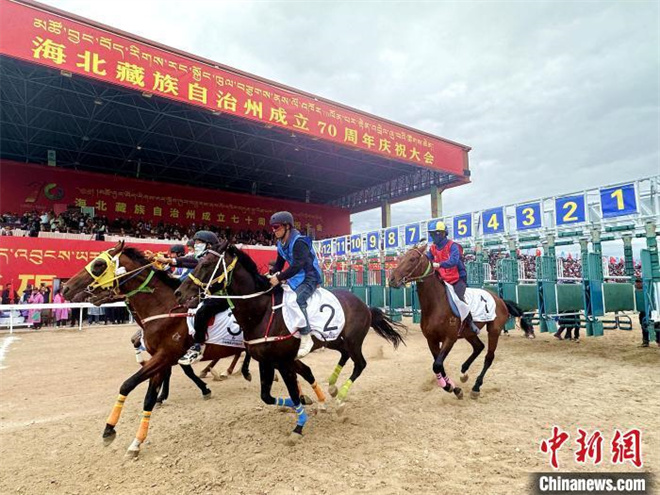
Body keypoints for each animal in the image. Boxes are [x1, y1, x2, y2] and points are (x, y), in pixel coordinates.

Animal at [173, 242, 404, 444]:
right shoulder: (266, 361)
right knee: (345, 356)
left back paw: (339, 399)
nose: (179, 293)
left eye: (206, 264)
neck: (262, 312)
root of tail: (365, 305)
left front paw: (299, 425)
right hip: (333, 340)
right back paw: (332, 387)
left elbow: (291, 391)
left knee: (360, 364)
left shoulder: (283, 361)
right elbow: (267, 396)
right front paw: (299, 404)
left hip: (353, 341)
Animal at [386, 246, 532, 402]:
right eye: (401, 258)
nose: (392, 279)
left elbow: (437, 365)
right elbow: (439, 365)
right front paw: (454, 388)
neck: (436, 304)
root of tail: (500, 299)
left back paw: (476, 387)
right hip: (469, 332)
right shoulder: (431, 340)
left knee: (489, 357)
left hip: (494, 330)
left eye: (412, 259)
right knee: (479, 347)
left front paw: (450, 387)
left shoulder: (450, 339)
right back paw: (463, 372)